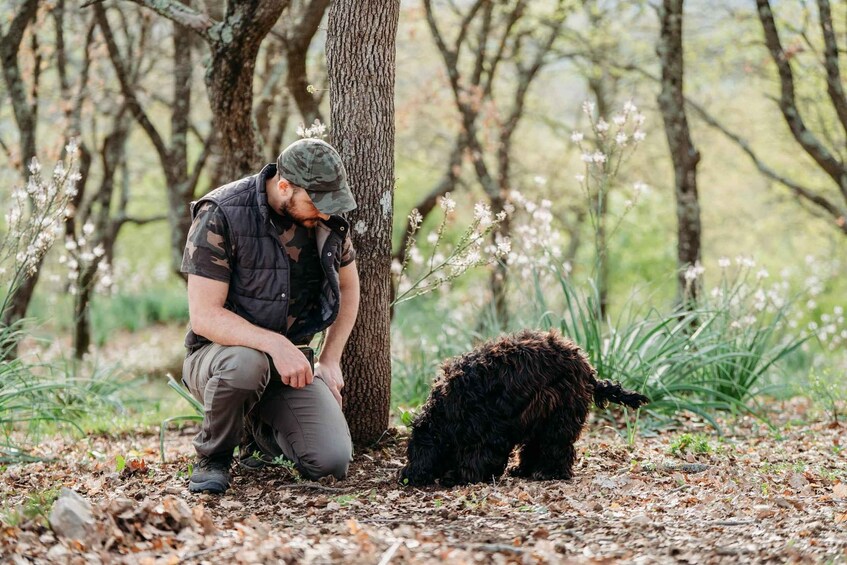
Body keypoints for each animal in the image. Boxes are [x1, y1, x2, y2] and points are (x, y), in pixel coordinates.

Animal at [400, 330, 648, 484]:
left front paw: (461, 475)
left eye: (415, 452)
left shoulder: (489, 428)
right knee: (537, 445)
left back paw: (548, 472)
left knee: (556, 446)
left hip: (558, 412)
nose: (405, 477)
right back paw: (524, 469)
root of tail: (588, 371)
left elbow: (479, 454)